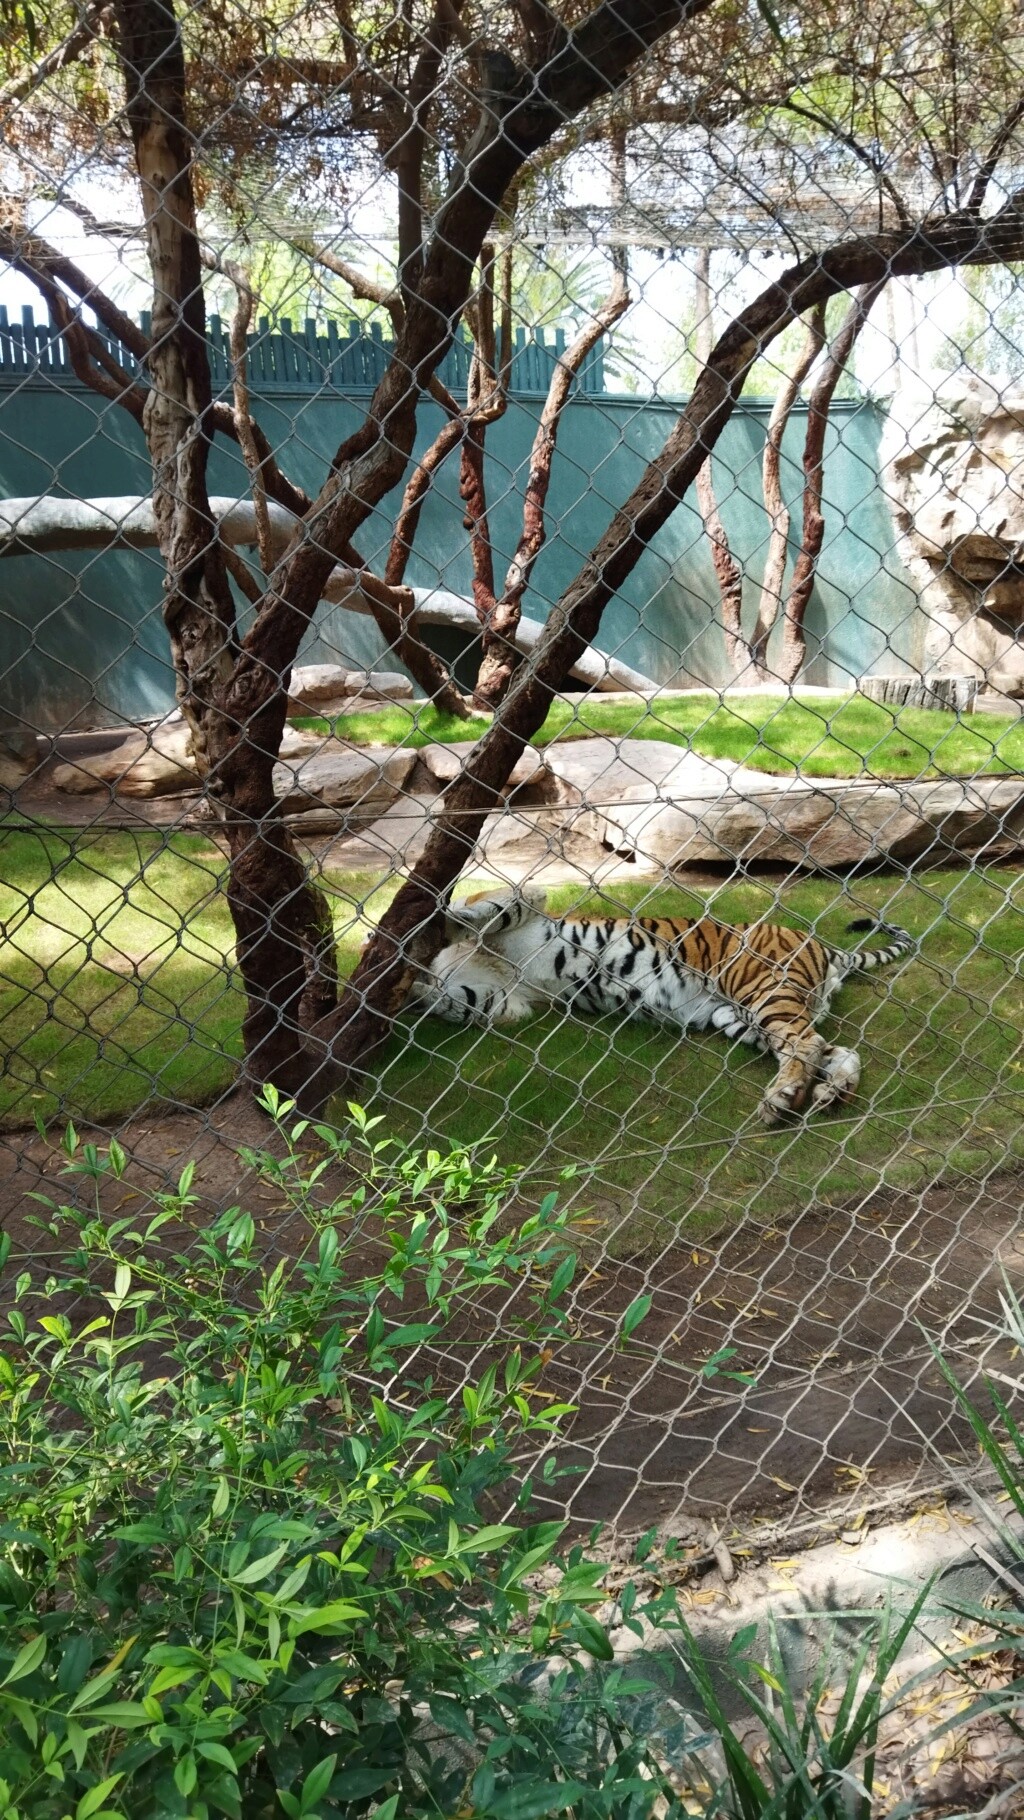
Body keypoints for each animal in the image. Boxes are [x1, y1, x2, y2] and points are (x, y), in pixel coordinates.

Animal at [412, 884, 916, 1121]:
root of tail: (827, 948)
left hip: (764, 990)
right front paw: (420, 992)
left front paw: (448, 918)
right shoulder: (506, 1001)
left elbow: (498, 904)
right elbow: (460, 1001)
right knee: (831, 1048)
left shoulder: (529, 911)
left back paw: (782, 1098)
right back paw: (831, 1092)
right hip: (738, 1014)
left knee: (807, 1045)